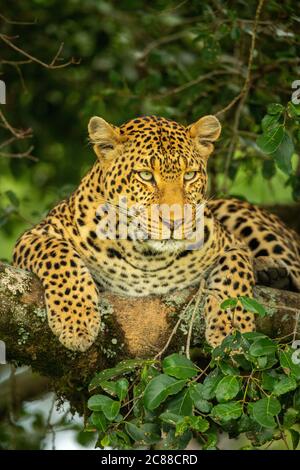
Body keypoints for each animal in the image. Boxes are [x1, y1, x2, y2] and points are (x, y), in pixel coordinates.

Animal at [12, 114, 300, 350]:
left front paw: (233, 328)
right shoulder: (37, 234)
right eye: (146, 175)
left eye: (189, 175)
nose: (175, 221)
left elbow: (235, 272)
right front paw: (76, 320)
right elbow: (58, 255)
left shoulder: (230, 243)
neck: (147, 256)